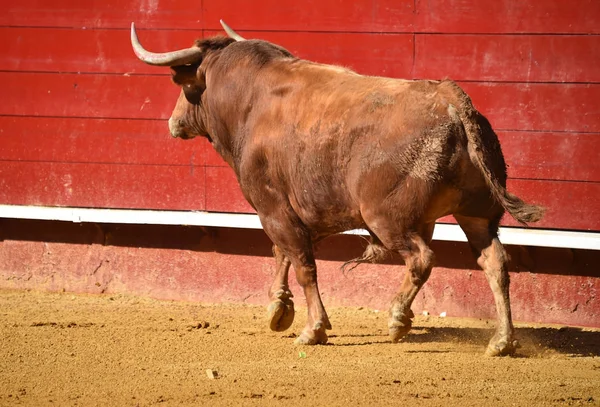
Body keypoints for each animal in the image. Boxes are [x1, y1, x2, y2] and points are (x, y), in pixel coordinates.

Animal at [130, 20, 544, 356]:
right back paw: (501, 341)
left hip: (387, 219)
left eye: (187, 87)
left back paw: (397, 320)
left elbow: (302, 264)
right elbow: (283, 255)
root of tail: (451, 100)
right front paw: (279, 310)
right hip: (475, 214)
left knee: (421, 259)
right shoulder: (295, 211)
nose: (174, 122)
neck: (249, 101)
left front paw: (312, 329)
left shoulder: (273, 209)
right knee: (494, 262)